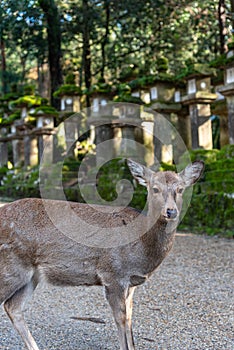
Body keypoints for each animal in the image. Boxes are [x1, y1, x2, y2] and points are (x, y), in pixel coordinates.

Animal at [0, 159, 204, 350]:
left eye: (180, 189)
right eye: (155, 188)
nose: (171, 211)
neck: (142, 249)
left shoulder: (131, 282)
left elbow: (130, 318)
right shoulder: (113, 274)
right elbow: (121, 319)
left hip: (30, 275)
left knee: (13, 307)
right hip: (10, 267)